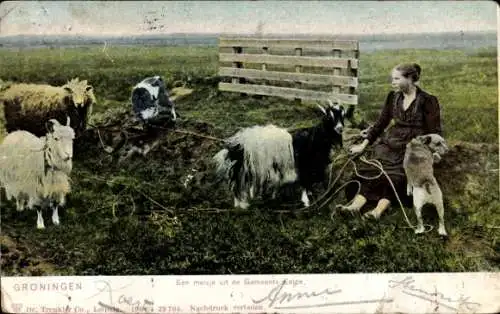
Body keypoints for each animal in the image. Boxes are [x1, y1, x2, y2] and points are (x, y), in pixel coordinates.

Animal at [212, 99, 348, 210]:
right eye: (329, 117)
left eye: (343, 116)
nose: (340, 128)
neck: (315, 138)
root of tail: (238, 144)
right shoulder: (306, 165)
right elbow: (305, 182)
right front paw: (306, 202)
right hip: (245, 166)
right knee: (238, 184)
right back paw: (241, 204)